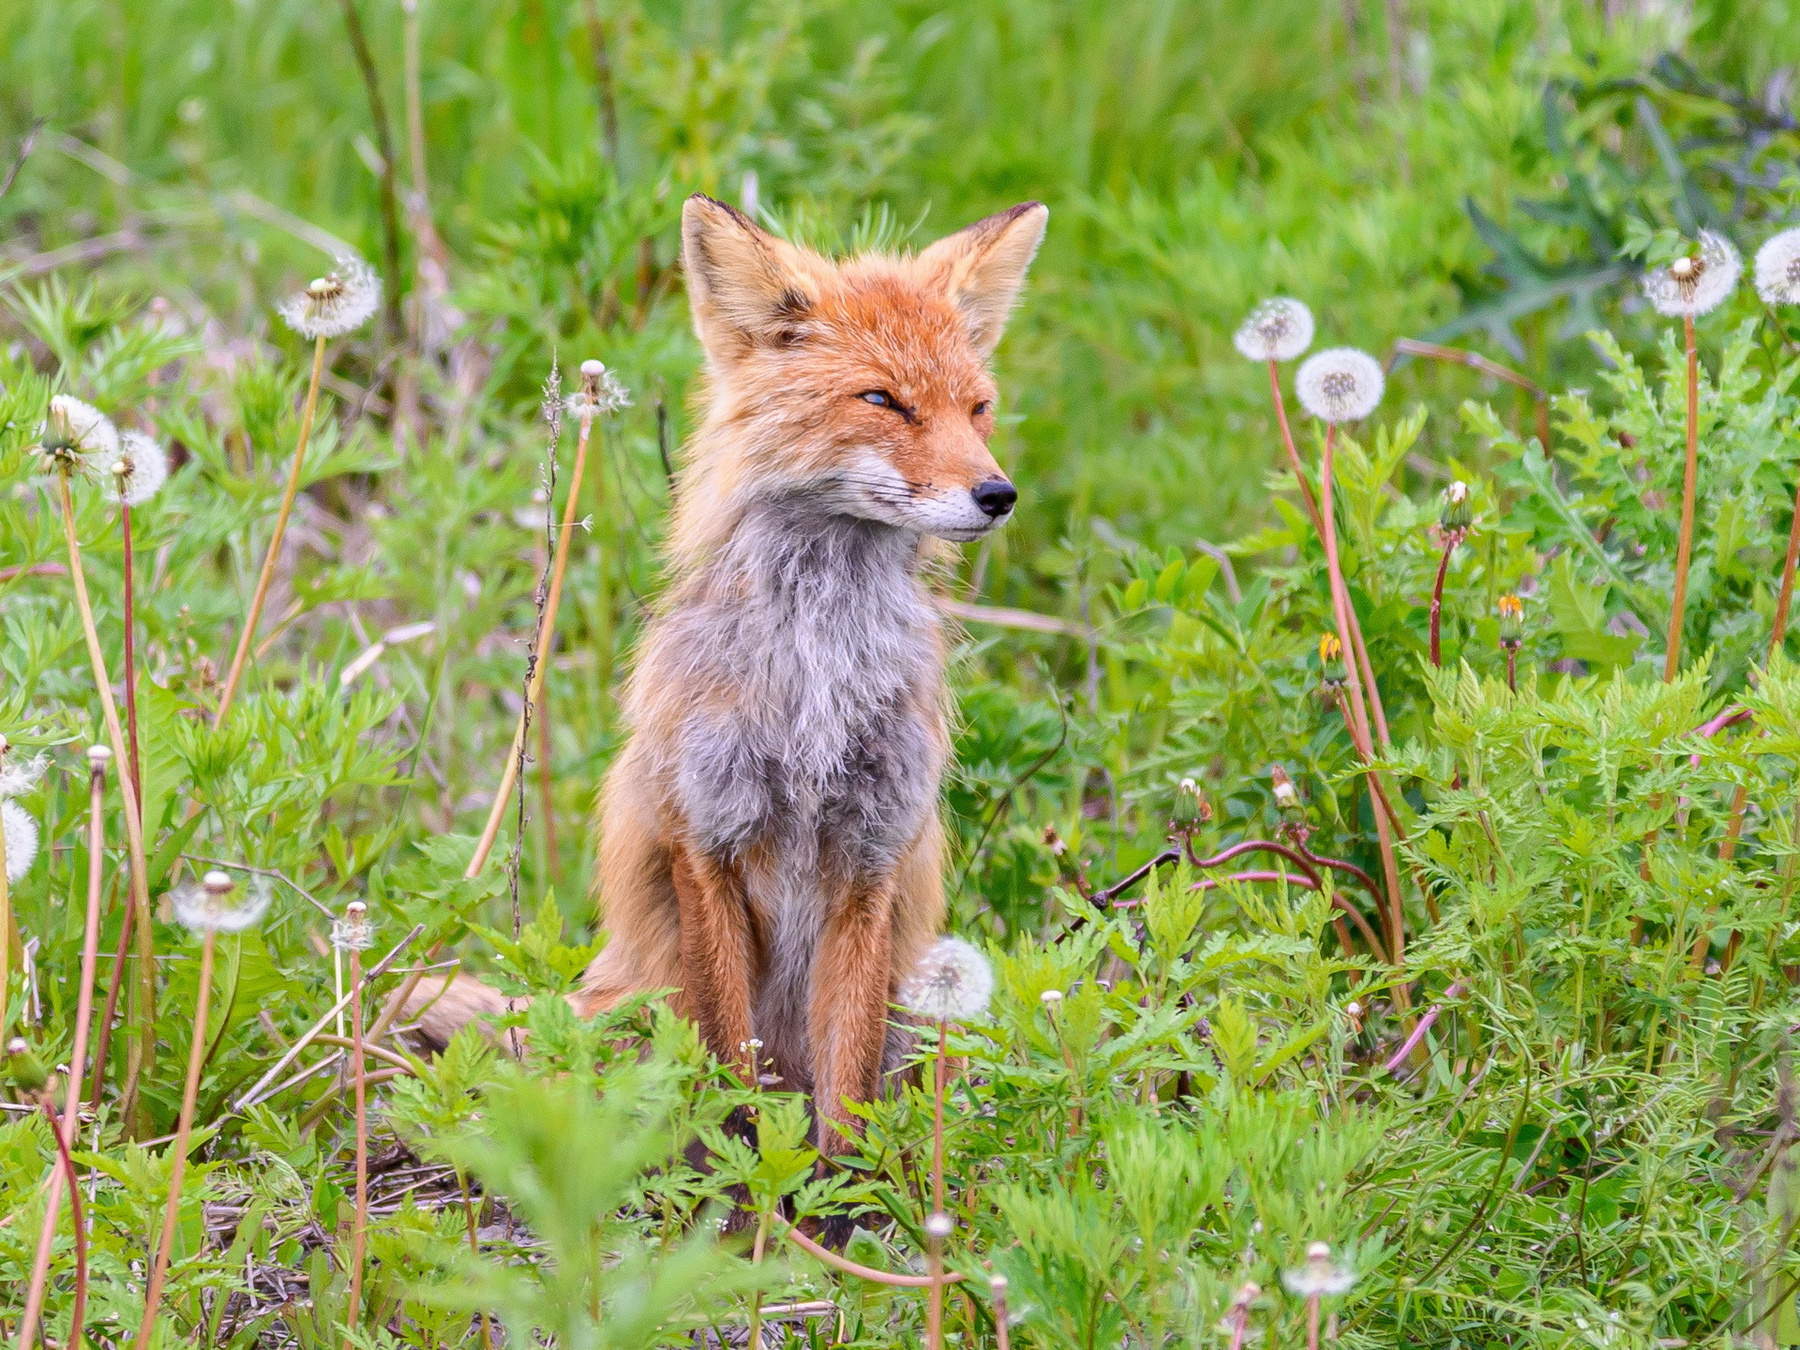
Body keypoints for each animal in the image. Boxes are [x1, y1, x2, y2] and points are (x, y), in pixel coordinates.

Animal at [412, 192, 1048, 1152]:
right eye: (883, 400)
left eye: (977, 409)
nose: (998, 495)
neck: (816, 676)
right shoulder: (703, 835)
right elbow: (728, 1070)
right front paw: (739, 1186)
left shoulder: (872, 855)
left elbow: (846, 1092)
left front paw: (841, 1195)